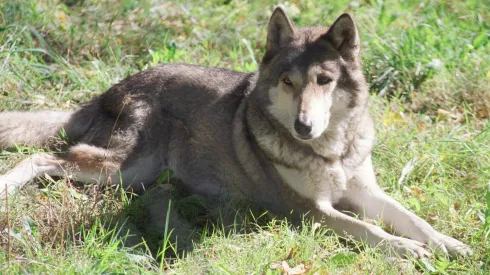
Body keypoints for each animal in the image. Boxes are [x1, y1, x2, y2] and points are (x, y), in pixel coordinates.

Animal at [0, 7, 470, 260]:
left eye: (323, 81)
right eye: (287, 82)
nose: (303, 126)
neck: (331, 152)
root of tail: (108, 90)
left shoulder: (367, 192)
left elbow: (415, 219)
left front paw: (450, 245)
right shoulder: (311, 212)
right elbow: (370, 231)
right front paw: (408, 250)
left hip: (137, 175)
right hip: (123, 167)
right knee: (43, 157)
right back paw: (7, 186)